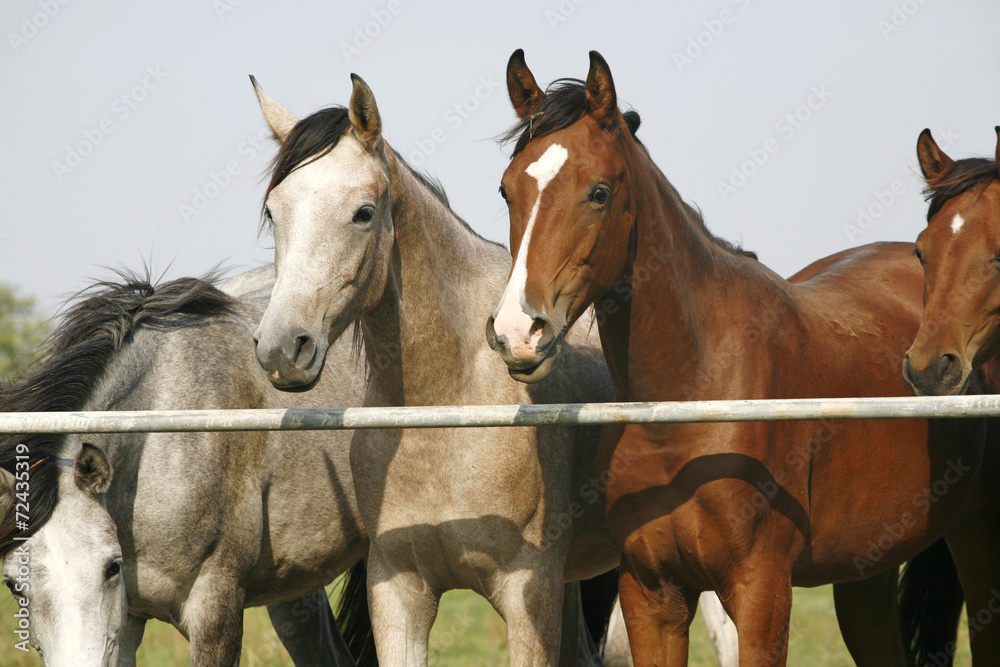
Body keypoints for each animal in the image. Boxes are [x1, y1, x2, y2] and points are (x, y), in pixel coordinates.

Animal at [486, 49, 1000, 664]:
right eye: (507, 190)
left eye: (599, 192)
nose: (518, 331)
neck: (689, 401)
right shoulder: (651, 596)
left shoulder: (761, 594)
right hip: (865, 572)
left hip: (976, 547)